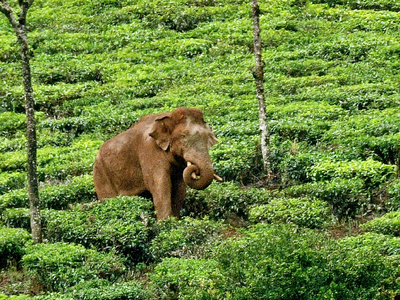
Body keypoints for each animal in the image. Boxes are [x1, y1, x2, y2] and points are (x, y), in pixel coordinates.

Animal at [93, 108, 222, 220]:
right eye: (183, 136)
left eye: (208, 137)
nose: (195, 169)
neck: (168, 117)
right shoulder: (149, 151)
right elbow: (159, 183)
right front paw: (165, 222)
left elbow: (179, 186)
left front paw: (174, 221)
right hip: (101, 174)